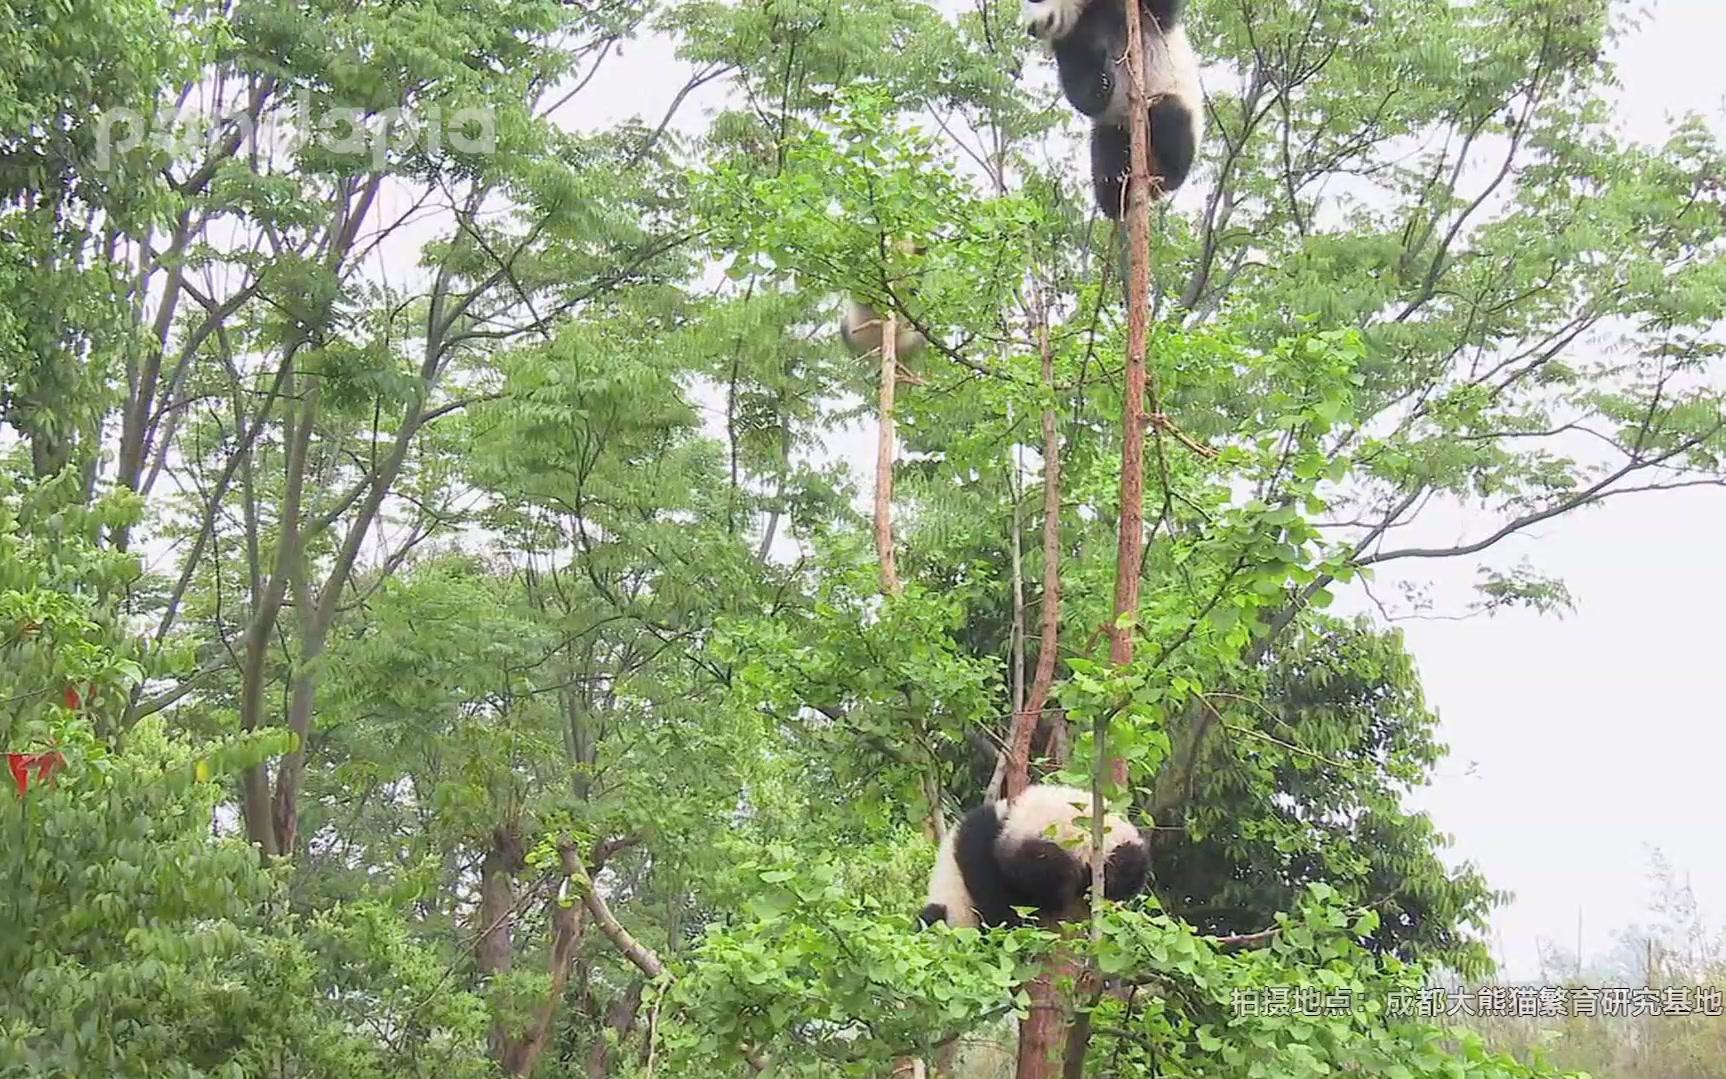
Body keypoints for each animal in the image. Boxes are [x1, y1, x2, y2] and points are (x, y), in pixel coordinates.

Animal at [1021, 0, 1201, 219]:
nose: (1030, 29)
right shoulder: (1069, 42)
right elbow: (1078, 82)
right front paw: (1101, 81)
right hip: (1115, 126)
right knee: (1105, 149)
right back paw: (1114, 188)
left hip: (1171, 102)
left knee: (1170, 117)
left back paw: (1166, 173)